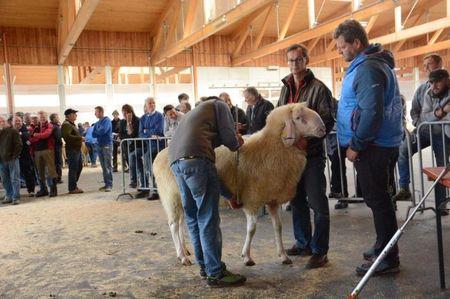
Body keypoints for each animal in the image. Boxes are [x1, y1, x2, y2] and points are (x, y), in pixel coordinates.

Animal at [153, 103, 326, 268]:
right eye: (298, 118)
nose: (323, 128)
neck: (273, 147)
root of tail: (159, 155)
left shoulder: (272, 200)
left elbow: (278, 227)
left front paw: (283, 256)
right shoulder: (252, 199)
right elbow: (251, 229)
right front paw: (247, 257)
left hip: (181, 196)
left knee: (181, 222)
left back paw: (185, 250)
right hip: (171, 196)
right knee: (174, 225)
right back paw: (182, 257)